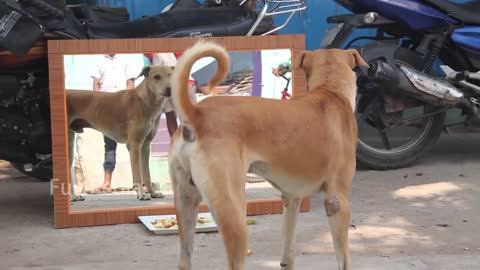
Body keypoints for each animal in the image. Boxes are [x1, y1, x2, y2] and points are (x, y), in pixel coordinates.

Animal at [66, 65, 172, 200]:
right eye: (156, 77)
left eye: (170, 75)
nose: (169, 89)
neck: (144, 99)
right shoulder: (134, 145)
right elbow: (137, 173)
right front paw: (141, 194)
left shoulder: (145, 145)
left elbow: (147, 173)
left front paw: (152, 193)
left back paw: (73, 196)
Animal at [169, 40, 368, 270]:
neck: (330, 91)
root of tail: (197, 115)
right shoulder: (337, 203)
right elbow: (343, 259)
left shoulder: (291, 198)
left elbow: (288, 253)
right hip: (234, 214)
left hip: (185, 202)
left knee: (184, 259)